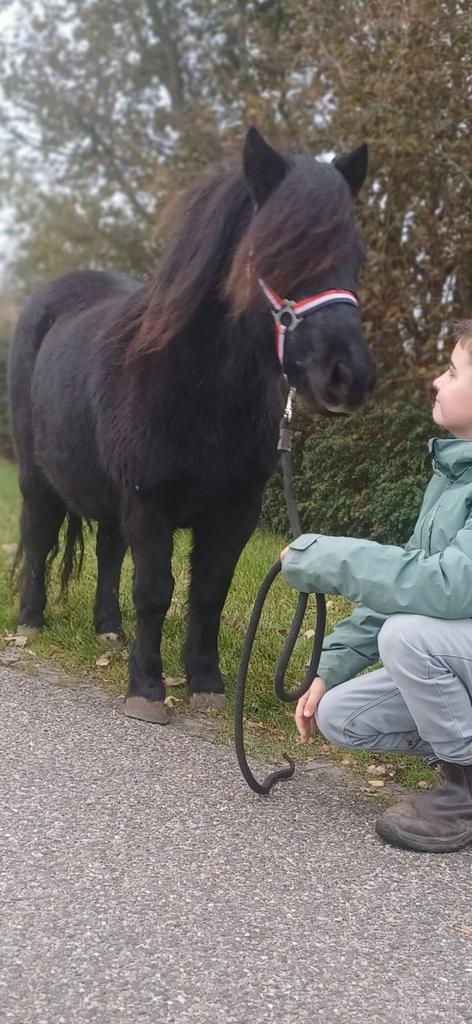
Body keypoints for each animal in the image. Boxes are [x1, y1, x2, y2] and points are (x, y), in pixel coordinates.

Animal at [8, 127, 376, 725]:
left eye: (357, 256)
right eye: (274, 251)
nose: (350, 376)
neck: (202, 393)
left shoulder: (234, 511)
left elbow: (208, 591)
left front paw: (206, 683)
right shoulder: (149, 502)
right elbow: (155, 591)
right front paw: (147, 688)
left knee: (108, 552)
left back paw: (108, 631)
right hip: (39, 479)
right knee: (39, 537)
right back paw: (29, 622)